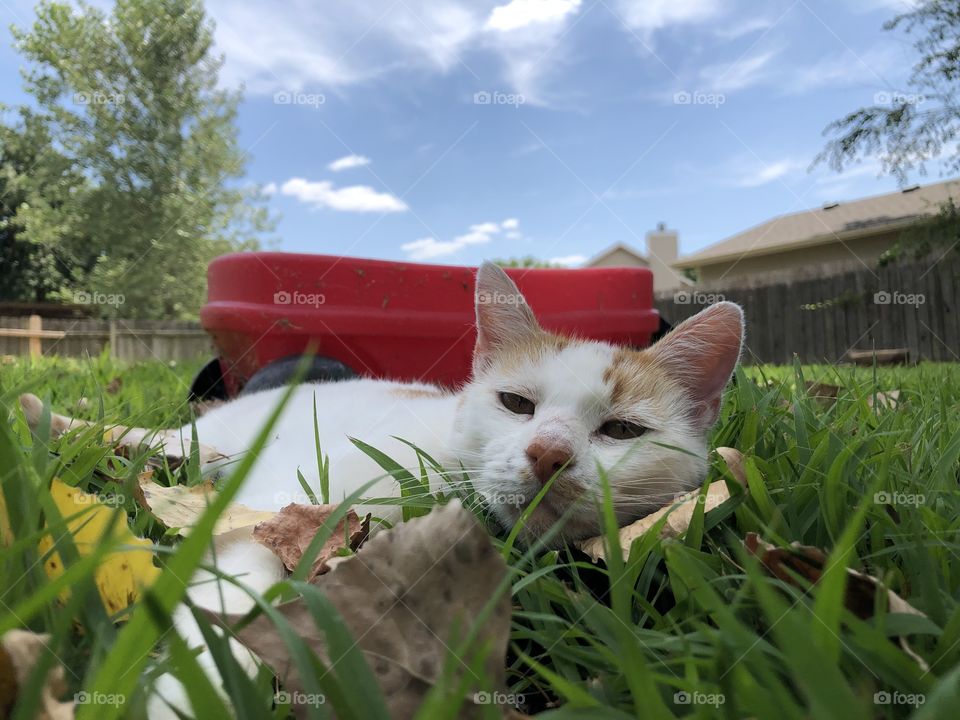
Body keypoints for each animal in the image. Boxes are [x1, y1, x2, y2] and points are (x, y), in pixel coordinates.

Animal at [20, 262, 744, 716]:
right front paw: (192, 691)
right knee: (157, 444)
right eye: (516, 403)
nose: (549, 454)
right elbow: (243, 582)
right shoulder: (272, 507)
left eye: (622, 430)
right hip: (206, 443)